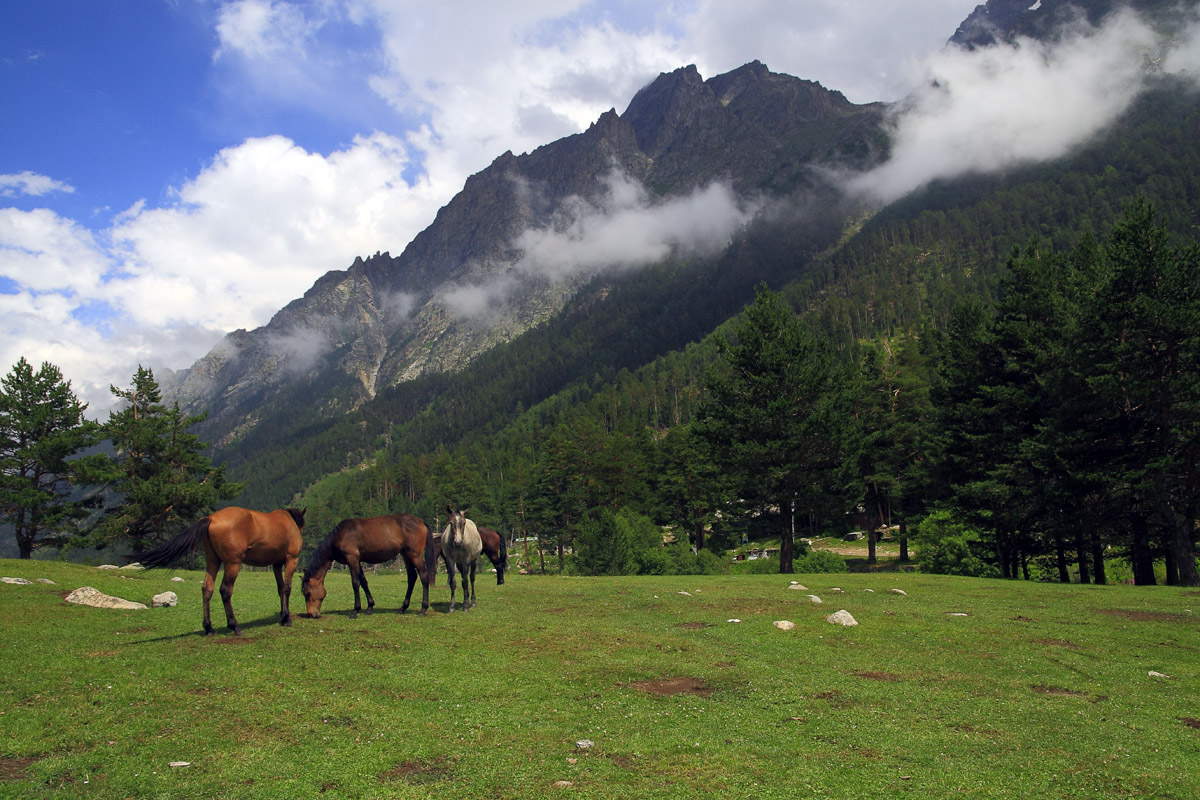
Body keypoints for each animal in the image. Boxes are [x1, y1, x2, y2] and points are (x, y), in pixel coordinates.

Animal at [136, 506, 307, 638]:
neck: (288, 523)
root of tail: (211, 518)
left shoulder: (276, 564)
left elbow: (280, 588)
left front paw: (283, 615)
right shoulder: (291, 560)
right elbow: (287, 588)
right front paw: (286, 618)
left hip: (213, 562)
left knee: (207, 589)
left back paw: (209, 628)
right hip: (232, 564)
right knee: (225, 590)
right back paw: (234, 626)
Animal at [302, 513, 439, 618]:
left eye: (307, 593)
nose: (311, 614)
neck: (341, 535)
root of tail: (421, 521)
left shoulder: (352, 558)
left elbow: (355, 583)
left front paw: (355, 610)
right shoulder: (357, 560)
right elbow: (363, 582)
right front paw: (369, 607)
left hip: (415, 555)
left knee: (424, 577)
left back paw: (423, 609)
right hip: (406, 554)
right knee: (412, 577)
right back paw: (402, 608)